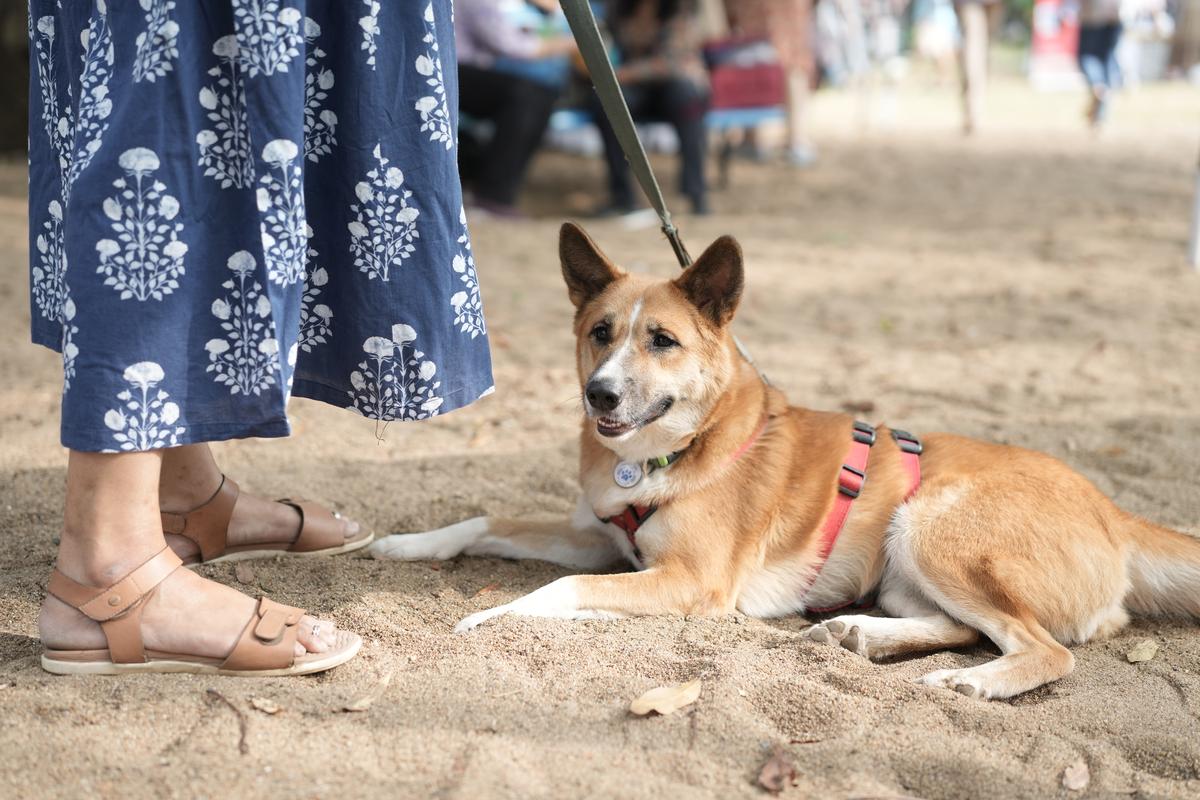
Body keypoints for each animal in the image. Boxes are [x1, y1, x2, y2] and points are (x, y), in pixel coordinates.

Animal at [372, 221, 1200, 695]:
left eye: (662, 341)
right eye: (599, 331)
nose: (599, 394)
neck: (678, 447)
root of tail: (1112, 509)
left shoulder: (690, 582)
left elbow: (563, 589)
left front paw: (493, 615)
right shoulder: (597, 536)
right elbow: (483, 520)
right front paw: (401, 543)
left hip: (931, 527)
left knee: (1044, 649)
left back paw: (976, 684)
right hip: (903, 567)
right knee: (965, 627)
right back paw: (863, 635)